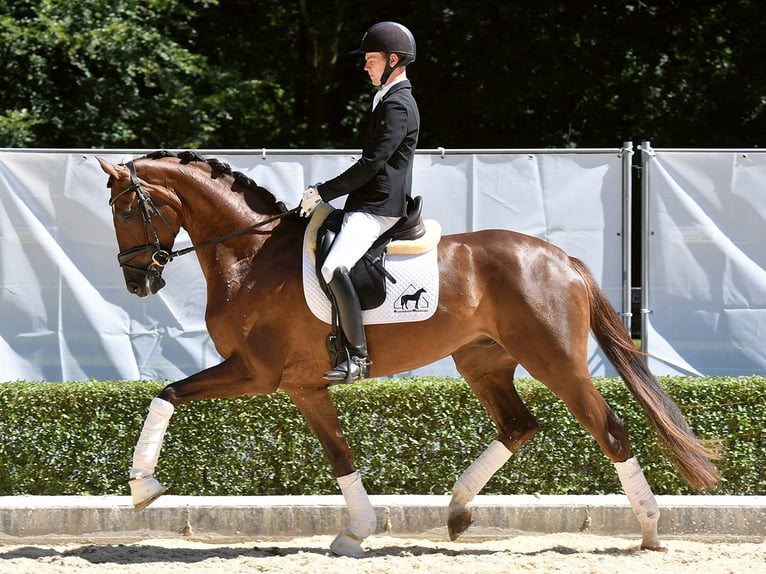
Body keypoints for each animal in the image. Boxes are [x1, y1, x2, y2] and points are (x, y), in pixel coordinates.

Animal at [96, 152, 720, 560]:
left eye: (125, 212)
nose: (137, 282)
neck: (251, 254)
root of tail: (560, 257)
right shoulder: (303, 385)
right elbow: (339, 456)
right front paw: (356, 532)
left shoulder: (256, 372)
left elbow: (166, 393)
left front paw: (143, 487)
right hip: (483, 362)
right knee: (518, 426)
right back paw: (457, 511)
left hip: (556, 363)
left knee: (609, 429)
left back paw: (650, 531)